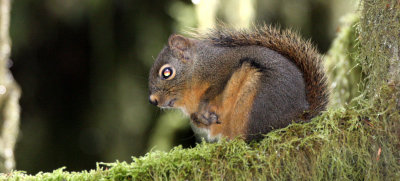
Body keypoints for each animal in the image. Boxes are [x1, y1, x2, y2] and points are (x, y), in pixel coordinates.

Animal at [147, 24, 328, 142]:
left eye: (167, 72)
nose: (153, 100)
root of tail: (300, 115)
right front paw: (199, 118)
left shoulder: (222, 69)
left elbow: (214, 90)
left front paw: (204, 106)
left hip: (257, 102)